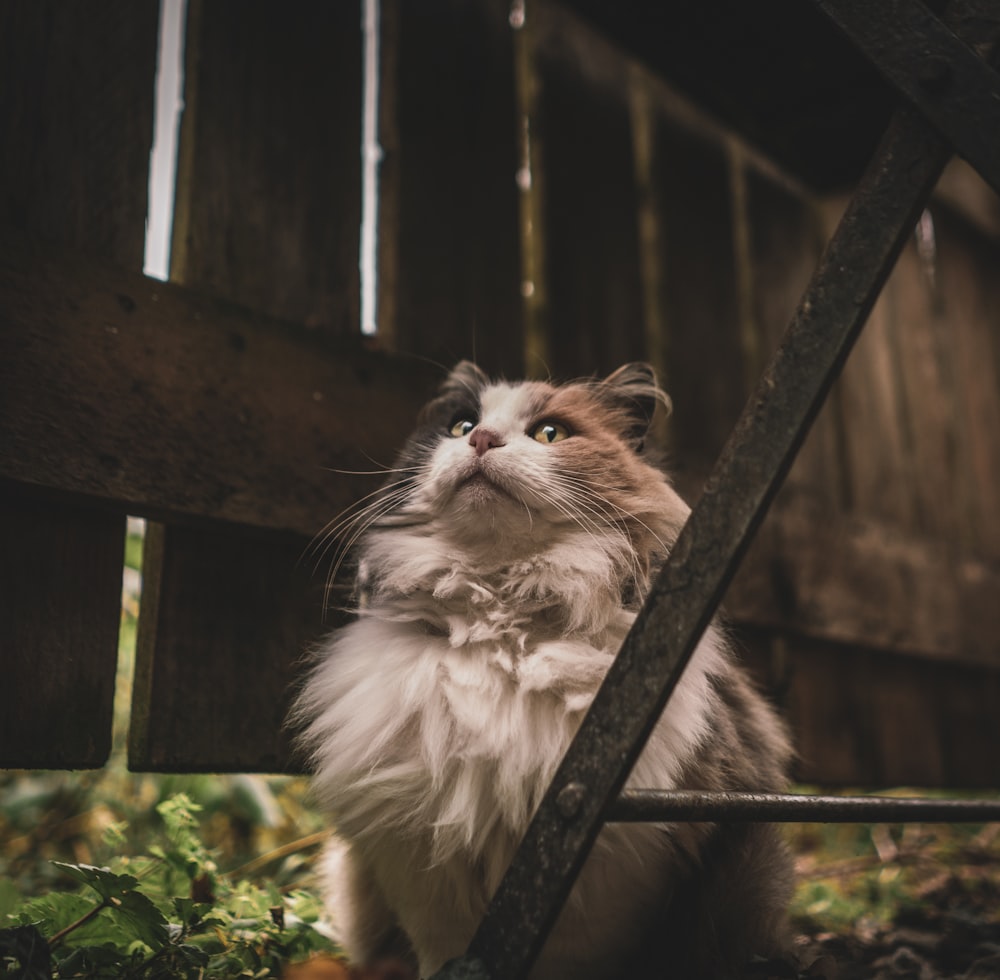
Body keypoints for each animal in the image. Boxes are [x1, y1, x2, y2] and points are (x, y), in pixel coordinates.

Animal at [292, 362, 796, 980]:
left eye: (550, 433)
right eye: (461, 426)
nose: (482, 441)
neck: (498, 623)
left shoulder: (608, 882)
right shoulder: (424, 874)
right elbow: (441, 950)